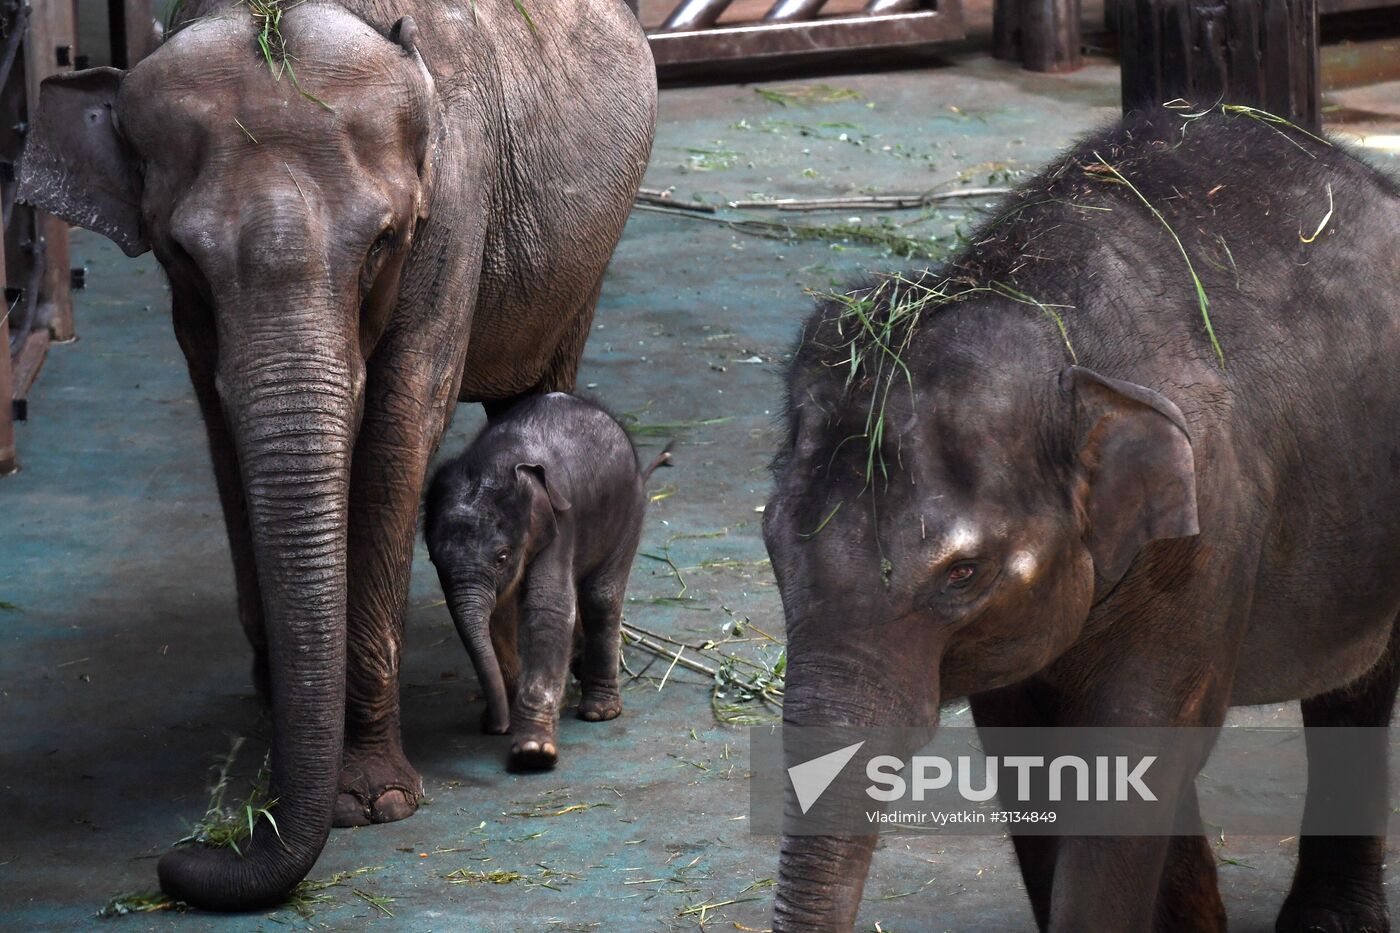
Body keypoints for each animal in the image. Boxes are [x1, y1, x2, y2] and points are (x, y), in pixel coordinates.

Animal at [424, 392, 671, 770]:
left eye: (502, 557)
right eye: (434, 559)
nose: (495, 726)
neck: (499, 462)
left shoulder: (559, 523)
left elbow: (548, 611)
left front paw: (533, 753)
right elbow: (498, 618)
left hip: (630, 509)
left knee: (601, 597)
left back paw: (600, 712)